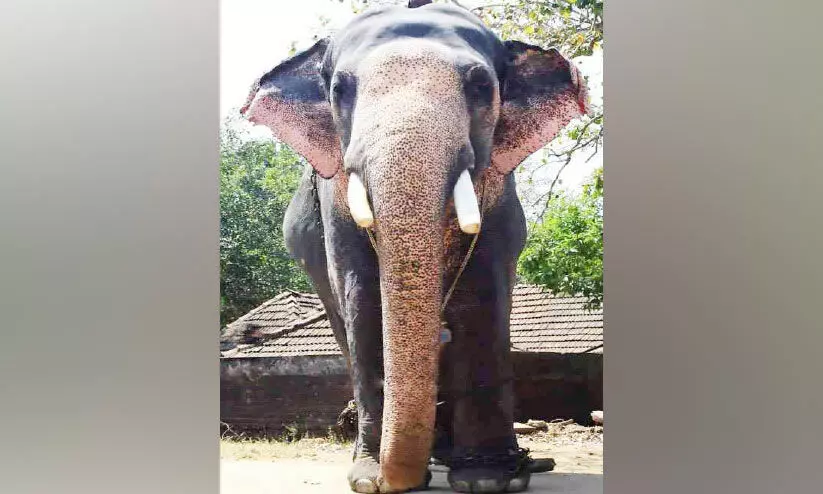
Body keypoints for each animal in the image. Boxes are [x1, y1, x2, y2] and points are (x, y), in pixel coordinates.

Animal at [240, 1, 590, 492]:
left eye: (481, 86)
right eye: (339, 90)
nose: (391, 481)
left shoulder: (499, 189)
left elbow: (481, 293)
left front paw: (486, 479)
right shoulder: (336, 199)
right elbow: (363, 294)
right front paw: (368, 479)